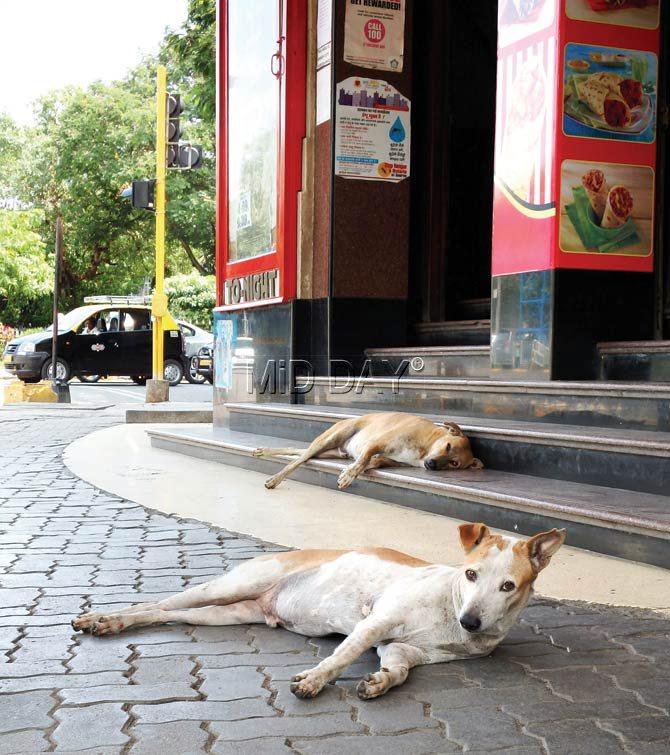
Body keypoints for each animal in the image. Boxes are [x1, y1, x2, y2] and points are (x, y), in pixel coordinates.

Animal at [73, 524, 568, 700]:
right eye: (470, 573)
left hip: (224, 612)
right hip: (228, 586)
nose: (471, 622)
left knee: (166, 615)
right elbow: (342, 656)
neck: (449, 610)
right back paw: (107, 618)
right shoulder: (376, 622)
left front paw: (380, 682)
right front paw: (315, 679)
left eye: (507, 586)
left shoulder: (402, 649)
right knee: (156, 603)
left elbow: (399, 670)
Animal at [251, 414, 484, 490]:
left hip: (332, 451)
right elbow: (363, 459)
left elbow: (371, 461)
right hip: (331, 438)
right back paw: (274, 479)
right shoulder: (376, 442)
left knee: (299, 452)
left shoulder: (389, 459)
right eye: (447, 446)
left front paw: (350, 470)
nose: (432, 465)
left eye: (454, 463)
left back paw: (264, 451)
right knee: (298, 460)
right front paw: (349, 475)